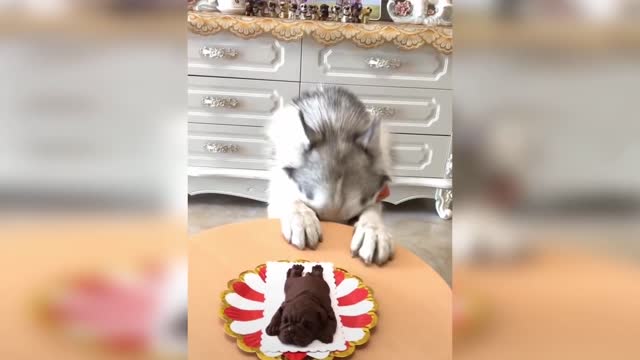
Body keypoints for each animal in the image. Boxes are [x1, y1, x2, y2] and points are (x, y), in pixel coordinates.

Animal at [266, 87, 396, 264]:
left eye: (352, 219)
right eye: (317, 214)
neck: (337, 127)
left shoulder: (378, 194)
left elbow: (373, 210)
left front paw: (374, 231)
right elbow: (291, 199)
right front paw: (302, 218)